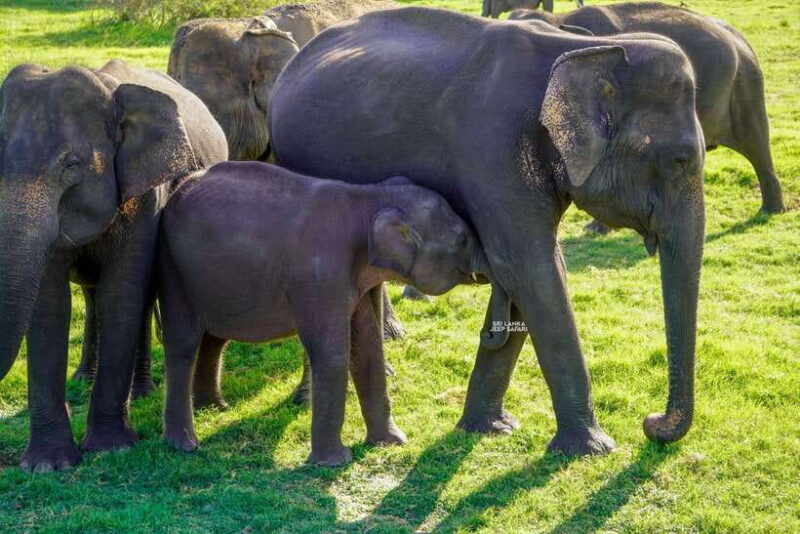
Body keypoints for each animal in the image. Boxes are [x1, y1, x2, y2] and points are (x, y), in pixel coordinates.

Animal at [0, 60, 228, 471]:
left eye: (72, 164)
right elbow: (50, 305)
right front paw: (48, 465)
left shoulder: (146, 195)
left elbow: (122, 292)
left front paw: (112, 449)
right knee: (92, 296)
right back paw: (84, 379)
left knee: (137, 297)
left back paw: (141, 392)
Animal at [158, 163, 495, 465]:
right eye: (463, 239)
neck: (368, 198)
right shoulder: (321, 274)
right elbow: (333, 353)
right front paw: (334, 463)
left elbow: (368, 347)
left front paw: (393, 442)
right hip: (172, 268)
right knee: (183, 342)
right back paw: (185, 444)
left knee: (214, 338)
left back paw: (215, 409)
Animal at [269, 7, 707, 454]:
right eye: (679, 159)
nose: (651, 423)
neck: (585, 48)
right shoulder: (493, 149)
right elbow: (527, 265)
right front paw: (592, 447)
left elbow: (536, 267)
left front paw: (490, 428)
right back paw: (308, 399)